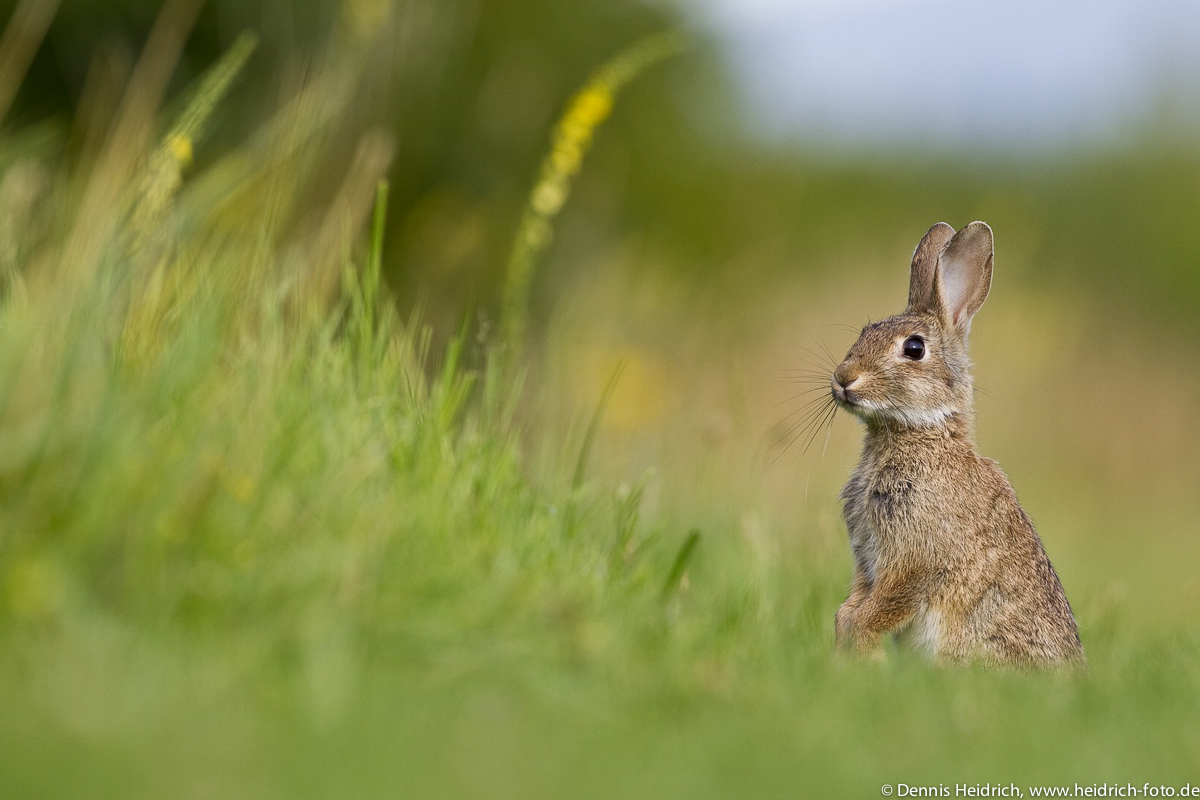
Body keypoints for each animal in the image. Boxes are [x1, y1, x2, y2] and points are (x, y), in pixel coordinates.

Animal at [830, 221, 1084, 666]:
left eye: (914, 348)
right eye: (864, 332)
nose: (843, 378)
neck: (924, 434)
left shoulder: (916, 558)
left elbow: (884, 605)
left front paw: (861, 651)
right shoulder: (867, 558)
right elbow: (855, 603)